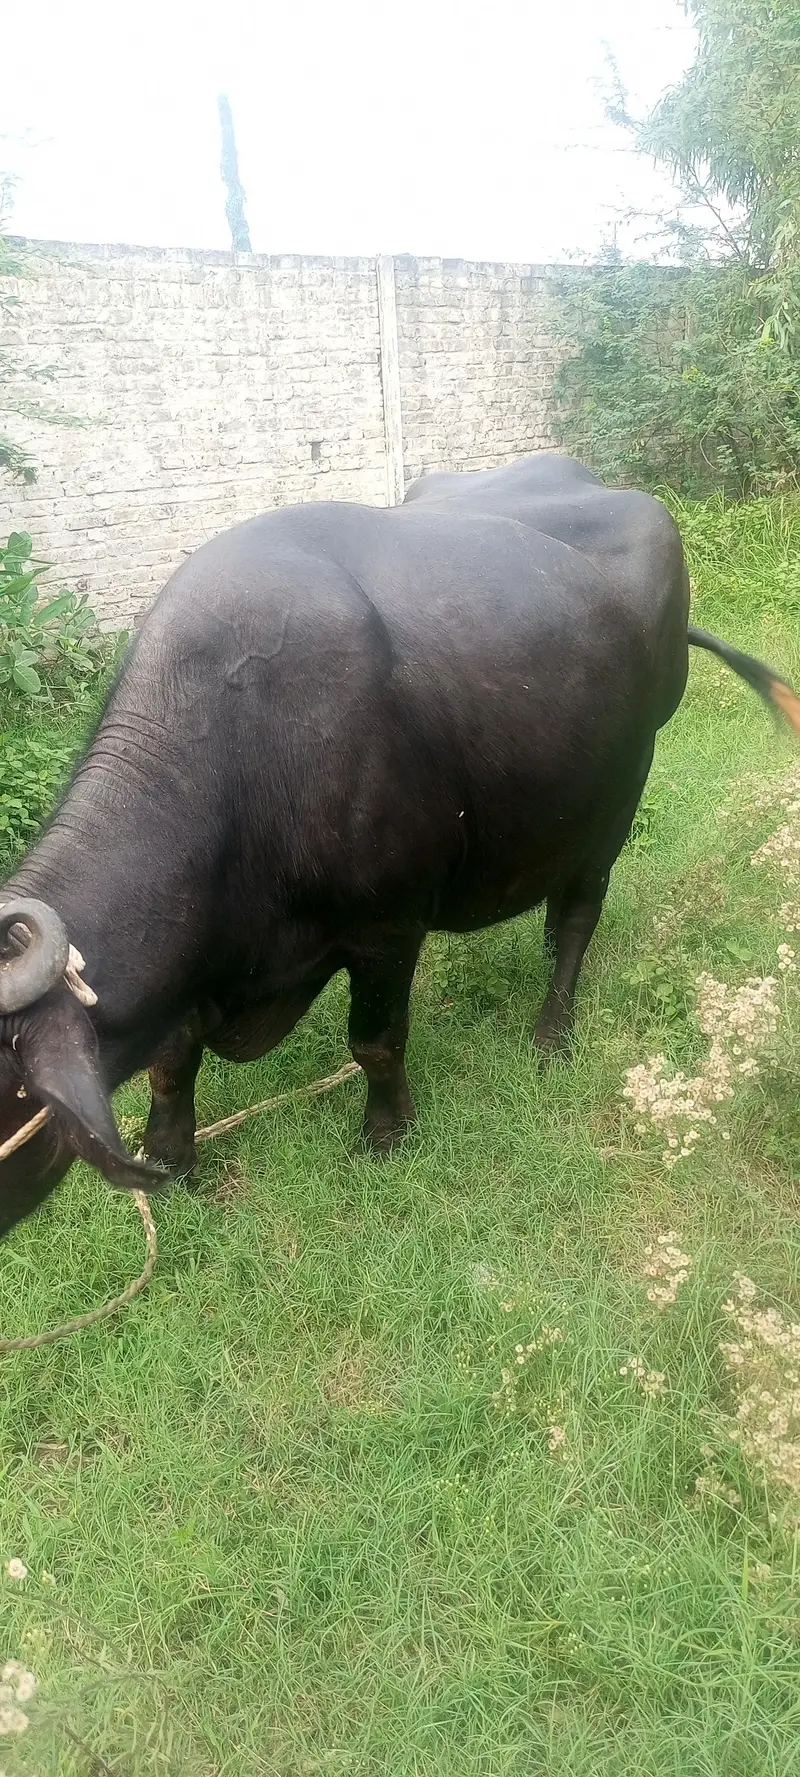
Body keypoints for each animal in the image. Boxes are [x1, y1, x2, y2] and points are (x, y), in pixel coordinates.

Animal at [1, 452, 798, 1236]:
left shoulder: (387, 927)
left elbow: (375, 1041)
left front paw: (386, 1133)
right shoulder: (191, 963)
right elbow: (172, 1059)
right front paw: (171, 1156)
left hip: (620, 793)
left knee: (580, 910)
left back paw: (552, 1029)